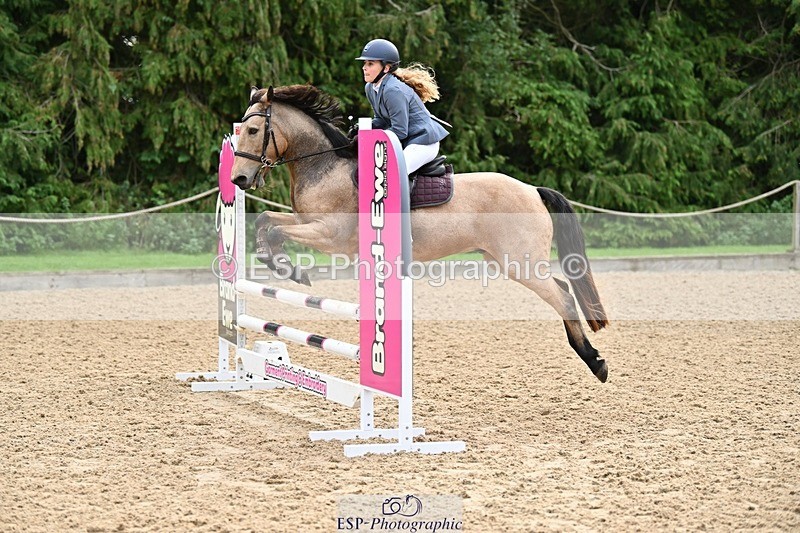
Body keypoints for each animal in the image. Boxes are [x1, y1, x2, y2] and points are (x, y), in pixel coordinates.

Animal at [230, 85, 610, 382]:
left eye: (253, 130)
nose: (239, 180)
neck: (324, 166)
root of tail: (532, 190)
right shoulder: (306, 222)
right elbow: (266, 220)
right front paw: (278, 263)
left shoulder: (329, 235)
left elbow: (276, 231)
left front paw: (290, 270)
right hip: (508, 261)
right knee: (563, 289)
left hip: (520, 261)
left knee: (562, 297)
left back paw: (595, 362)